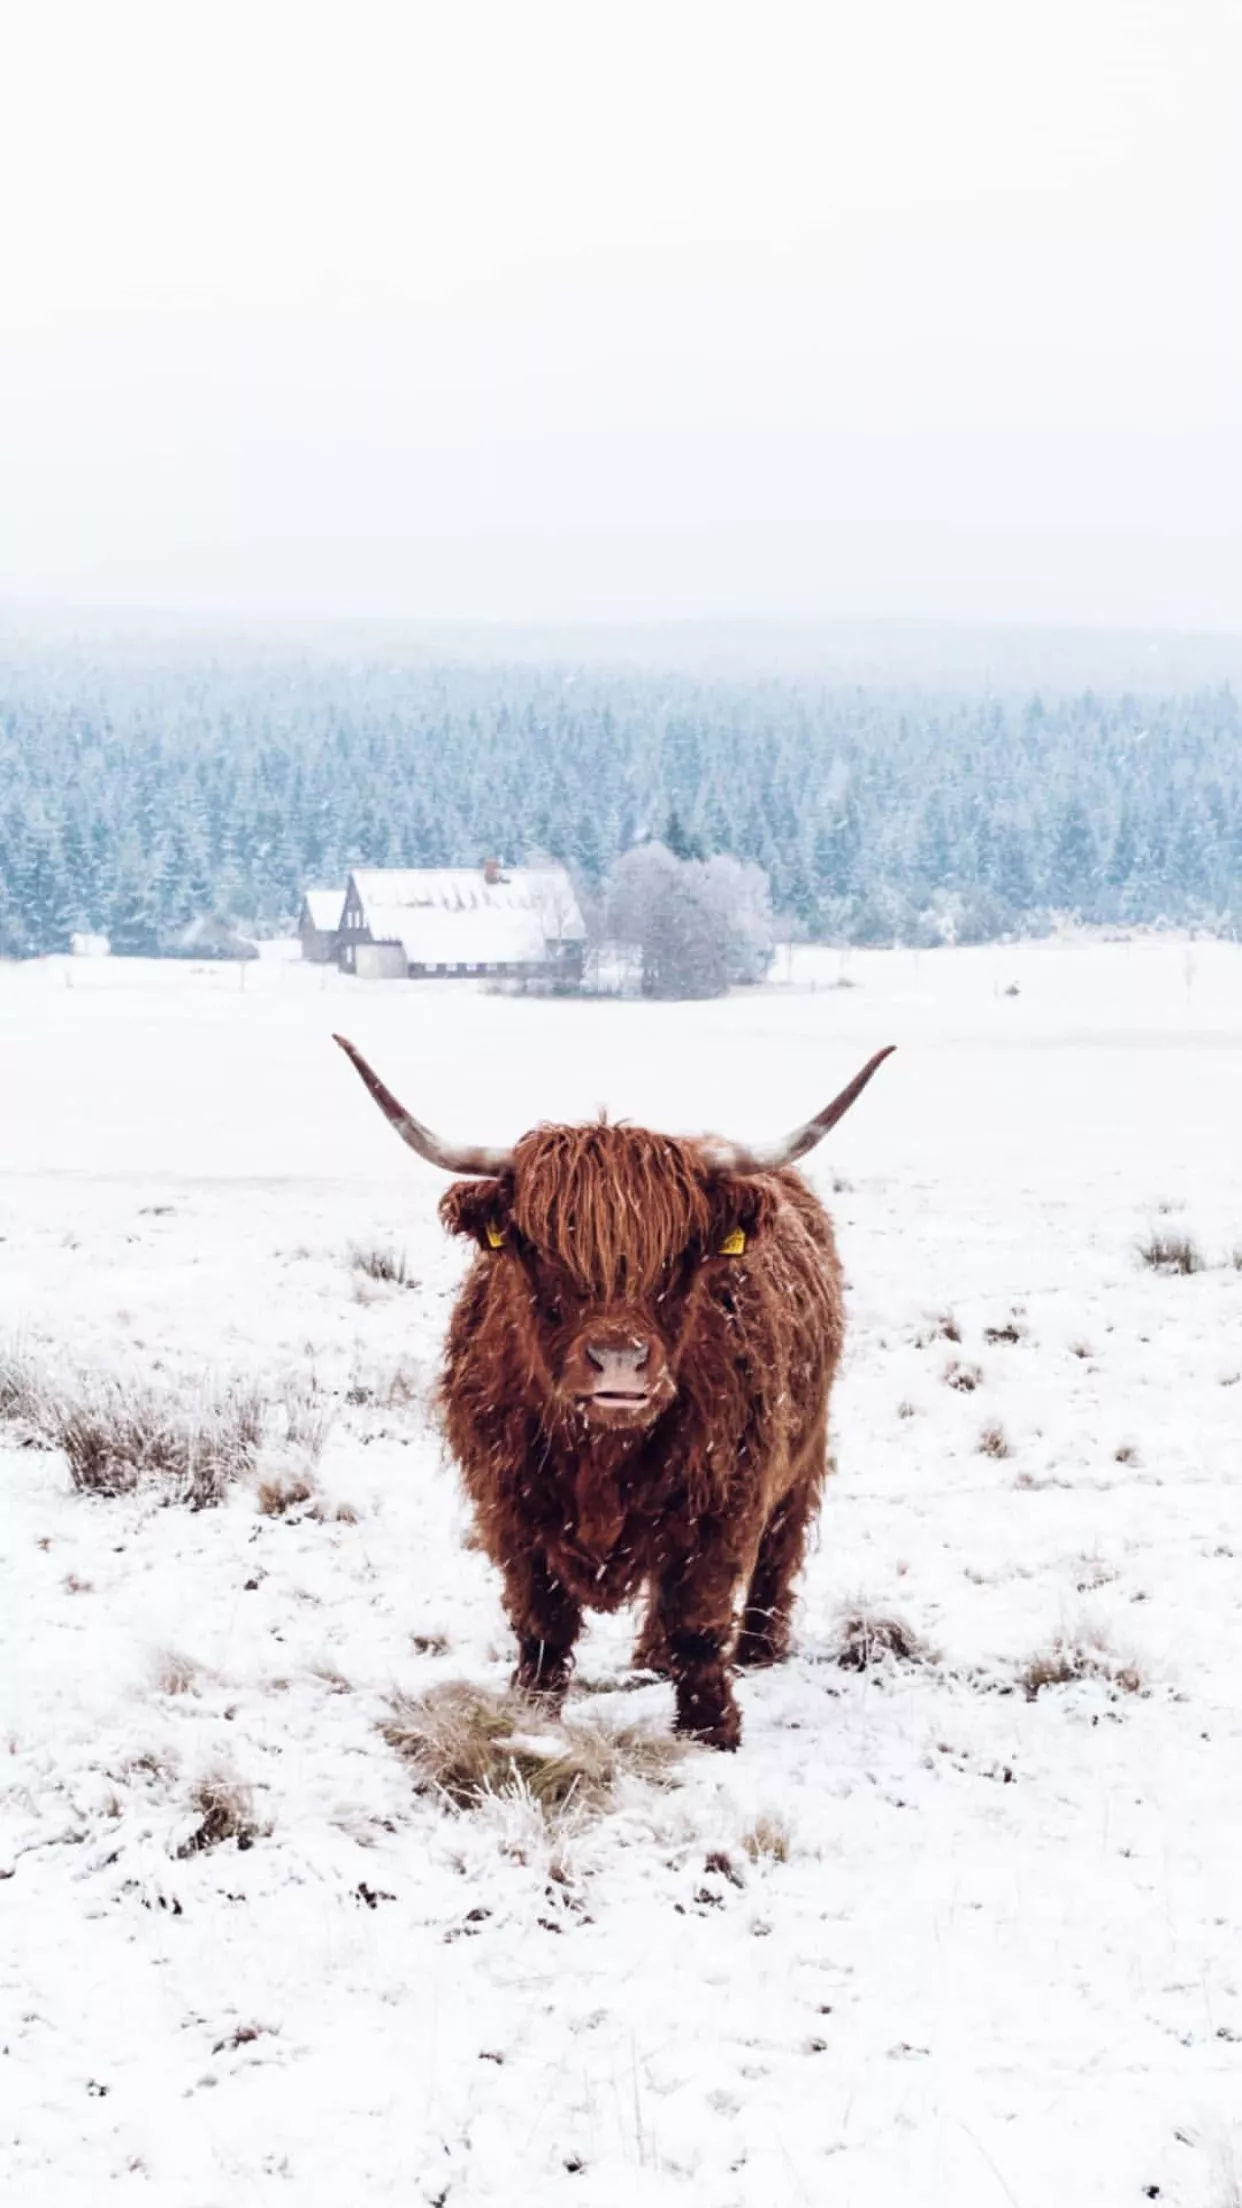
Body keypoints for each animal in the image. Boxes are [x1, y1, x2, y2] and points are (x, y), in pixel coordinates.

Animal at [334, 1034, 894, 1749]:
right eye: (543, 1251)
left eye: (682, 1257)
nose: (621, 1363)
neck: (601, 1454)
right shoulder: (508, 1502)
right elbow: (542, 1622)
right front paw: (530, 1715)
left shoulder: (725, 1497)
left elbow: (699, 1617)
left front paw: (711, 1728)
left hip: (805, 1446)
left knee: (779, 1546)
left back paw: (758, 1647)